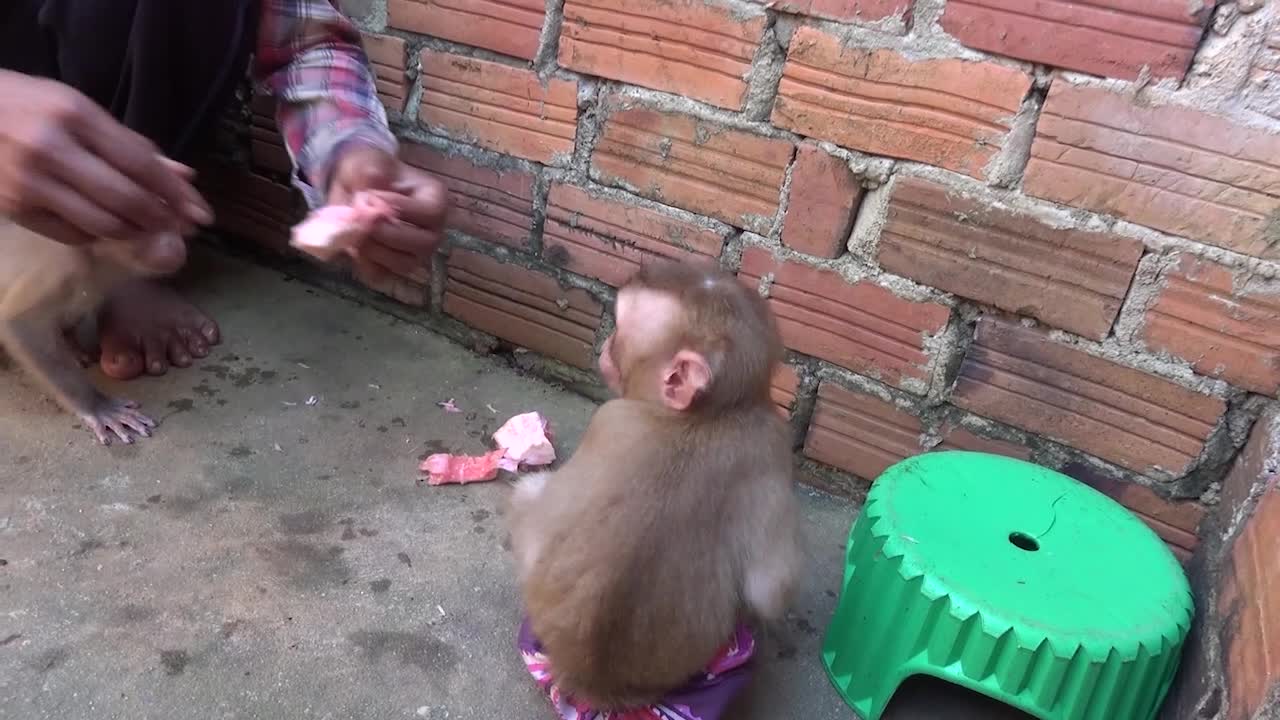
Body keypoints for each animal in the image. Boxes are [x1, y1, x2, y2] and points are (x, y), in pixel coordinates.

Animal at [0, 217, 186, 443]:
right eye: (141, 225)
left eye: (172, 222)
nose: (173, 245)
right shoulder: (65, 268)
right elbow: (19, 323)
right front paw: (97, 406)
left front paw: (73, 347)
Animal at [506, 256, 798, 707]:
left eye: (621, 330)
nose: (606, 344)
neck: (706, 415)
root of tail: (595, 684)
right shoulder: (774, 447)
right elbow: (771, 589)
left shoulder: (609, 419)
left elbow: (772, 585)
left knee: (528, 493)